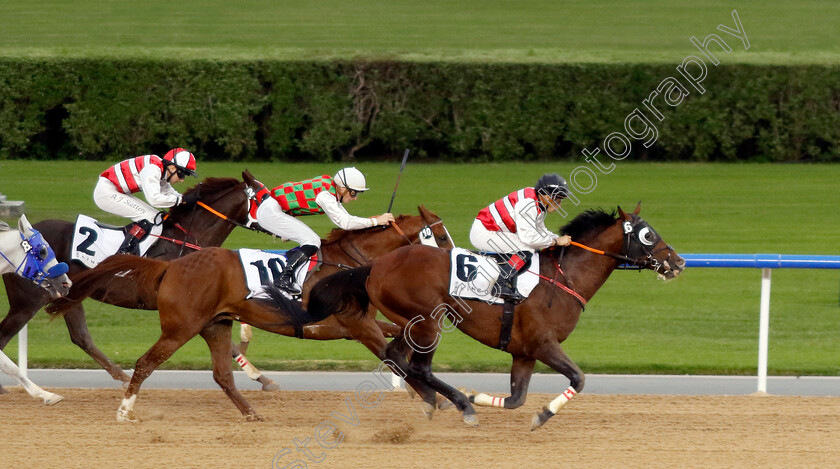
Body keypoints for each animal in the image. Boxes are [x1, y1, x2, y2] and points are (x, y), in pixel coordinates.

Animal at [0, 176, 253, 392]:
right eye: (261, 197)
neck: (185, 241)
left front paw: (257, 376)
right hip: (28, 302)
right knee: (5, 335)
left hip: (66, 293)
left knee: (81, 337)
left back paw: (122, 376)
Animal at [298, 204, 684, 428]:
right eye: (648, 234)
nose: (678, 262)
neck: (565, 278)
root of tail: (374, 266)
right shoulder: (544, 344)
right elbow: (579, 378)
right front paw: (541, 414)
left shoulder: (524, 352)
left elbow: (516, 399)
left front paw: (486, 399)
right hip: (429, 321)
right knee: (416, 365)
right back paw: (458, 404)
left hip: (412, 323)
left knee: (397, 357)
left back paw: (441, 401)